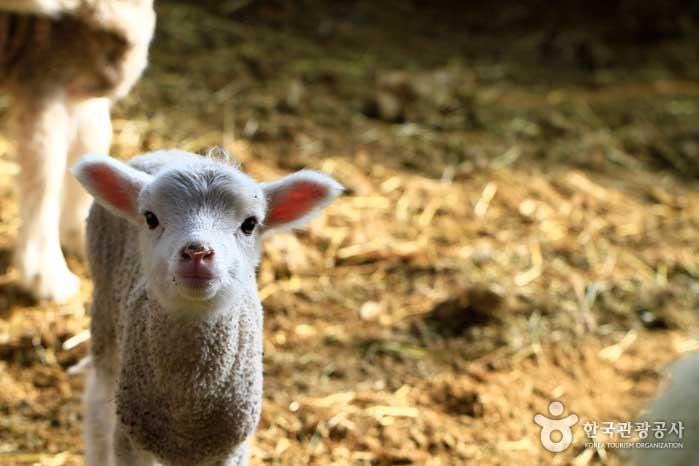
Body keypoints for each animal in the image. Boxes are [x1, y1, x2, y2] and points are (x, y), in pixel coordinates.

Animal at [1, 0, 154, 302]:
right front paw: (46, 276)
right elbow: (44, 173)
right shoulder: (42, 79)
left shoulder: (75, 86)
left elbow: (92, 140)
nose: (115, 82)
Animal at [71, 150, 342, 466]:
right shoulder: (131, 439)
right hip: (105, 319)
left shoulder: (230, 447)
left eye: (250, 224)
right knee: (97, 405)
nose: (197, 252)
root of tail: (165, 152)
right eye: (150, 218)